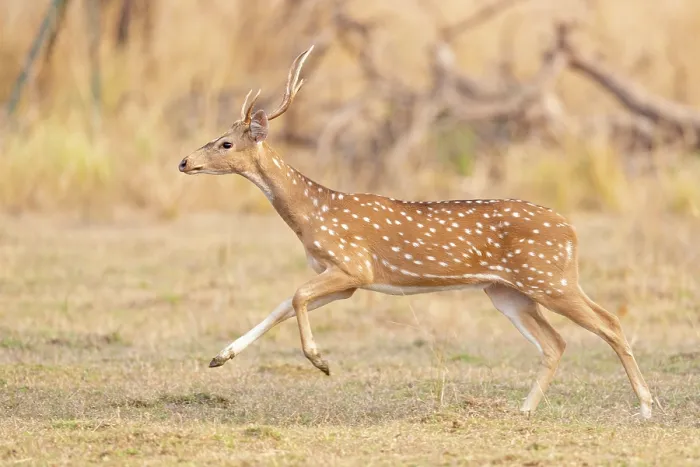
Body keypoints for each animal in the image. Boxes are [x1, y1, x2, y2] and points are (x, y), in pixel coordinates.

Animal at [177, 46, 654, 419]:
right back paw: (524, 409)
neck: (313, 212)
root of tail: (571, 230)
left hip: (549, 278)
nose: (184, 161)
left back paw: (646, 406)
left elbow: (295, 297)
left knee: (608, 322)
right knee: (555, 342)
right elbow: (283, 304)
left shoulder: (354, 267)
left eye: (225, 143)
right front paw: (220, 357)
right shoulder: (346, 282)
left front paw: (320, 361)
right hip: (507, 291)